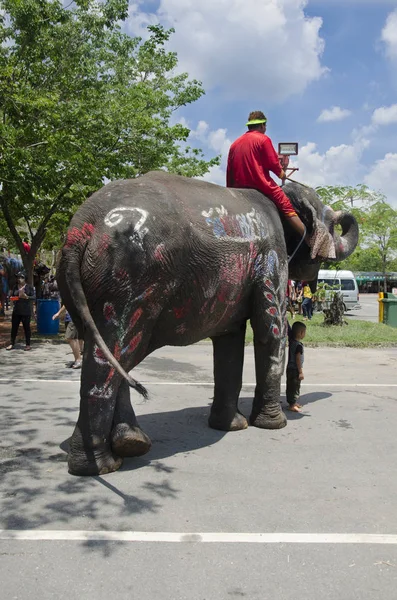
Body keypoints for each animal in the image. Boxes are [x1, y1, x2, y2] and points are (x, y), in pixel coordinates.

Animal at [57, 171, 358, 476]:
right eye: (332, 224)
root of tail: (80, 230)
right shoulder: (272, 258)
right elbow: (271, 332)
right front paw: (273, 425)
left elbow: (230, 341)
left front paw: (232, 426)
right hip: (127, 284)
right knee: (112, 355)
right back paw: (99, 466)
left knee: (114, 355)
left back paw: (131, 444)